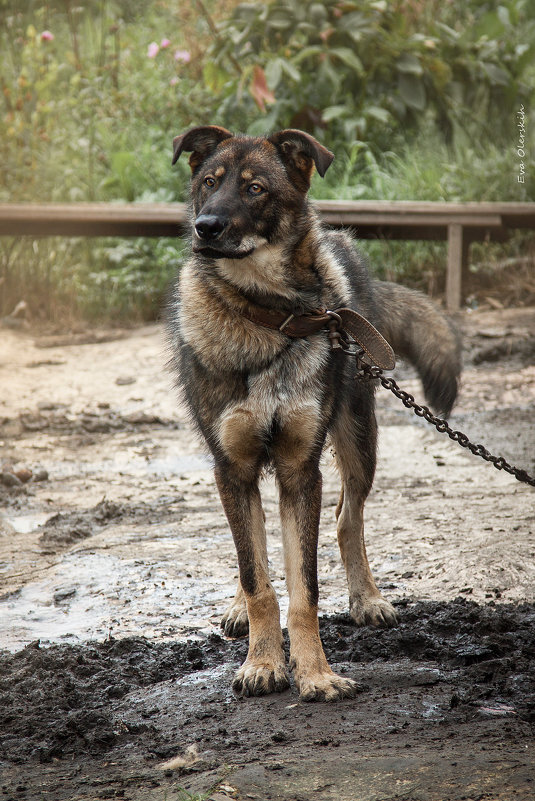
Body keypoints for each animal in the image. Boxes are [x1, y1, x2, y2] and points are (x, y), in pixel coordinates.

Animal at [170, 126, 462, 700]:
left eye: (255, 188)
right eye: (209, 182)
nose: (205, 227)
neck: (267, 316)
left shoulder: (300, 470)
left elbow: (304, 591)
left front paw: (315, 674)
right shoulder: (232, 469)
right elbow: (258, 579)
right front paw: (262, 663)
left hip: (359, 438)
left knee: (349, 518)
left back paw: (367, 598)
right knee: (253, 553)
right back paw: (239, 609)